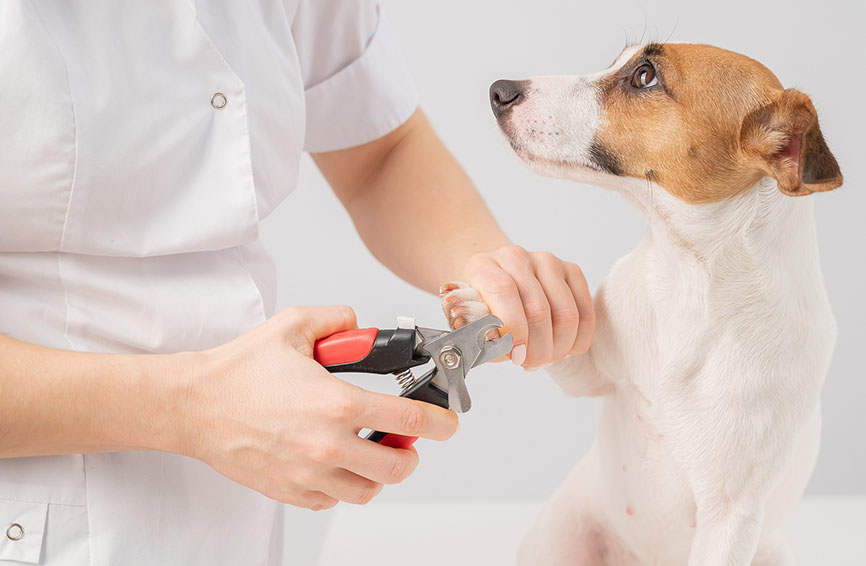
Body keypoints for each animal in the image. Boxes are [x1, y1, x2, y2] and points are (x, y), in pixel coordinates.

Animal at [438, 42, 836, 564]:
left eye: (645, 76)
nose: (499, 91)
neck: (690, 286)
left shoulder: (731, 518)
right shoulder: (590, 372)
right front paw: (490, 303)